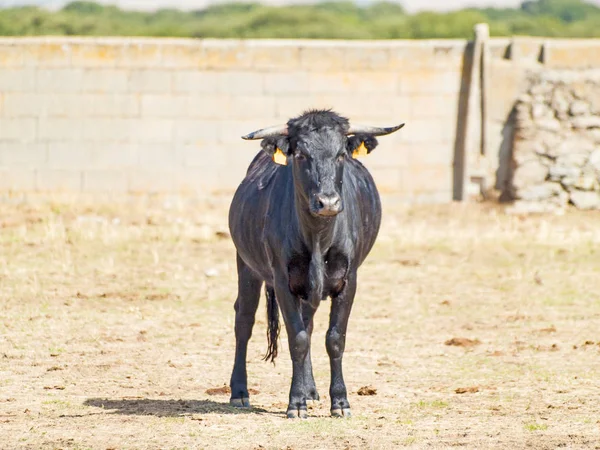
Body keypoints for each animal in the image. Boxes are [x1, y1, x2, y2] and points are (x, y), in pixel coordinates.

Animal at [227, 109, 406, 418]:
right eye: (301, 155)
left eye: (341, 154)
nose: (328, 202)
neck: (318, 236)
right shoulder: (282, 281)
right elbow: (297, 338)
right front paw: (296, 403)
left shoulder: (348, 280)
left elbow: (334, 338)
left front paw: (340, 402)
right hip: (247, 265)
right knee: (244, 320)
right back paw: (239, 392)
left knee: (308, 323)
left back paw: (311, 391)